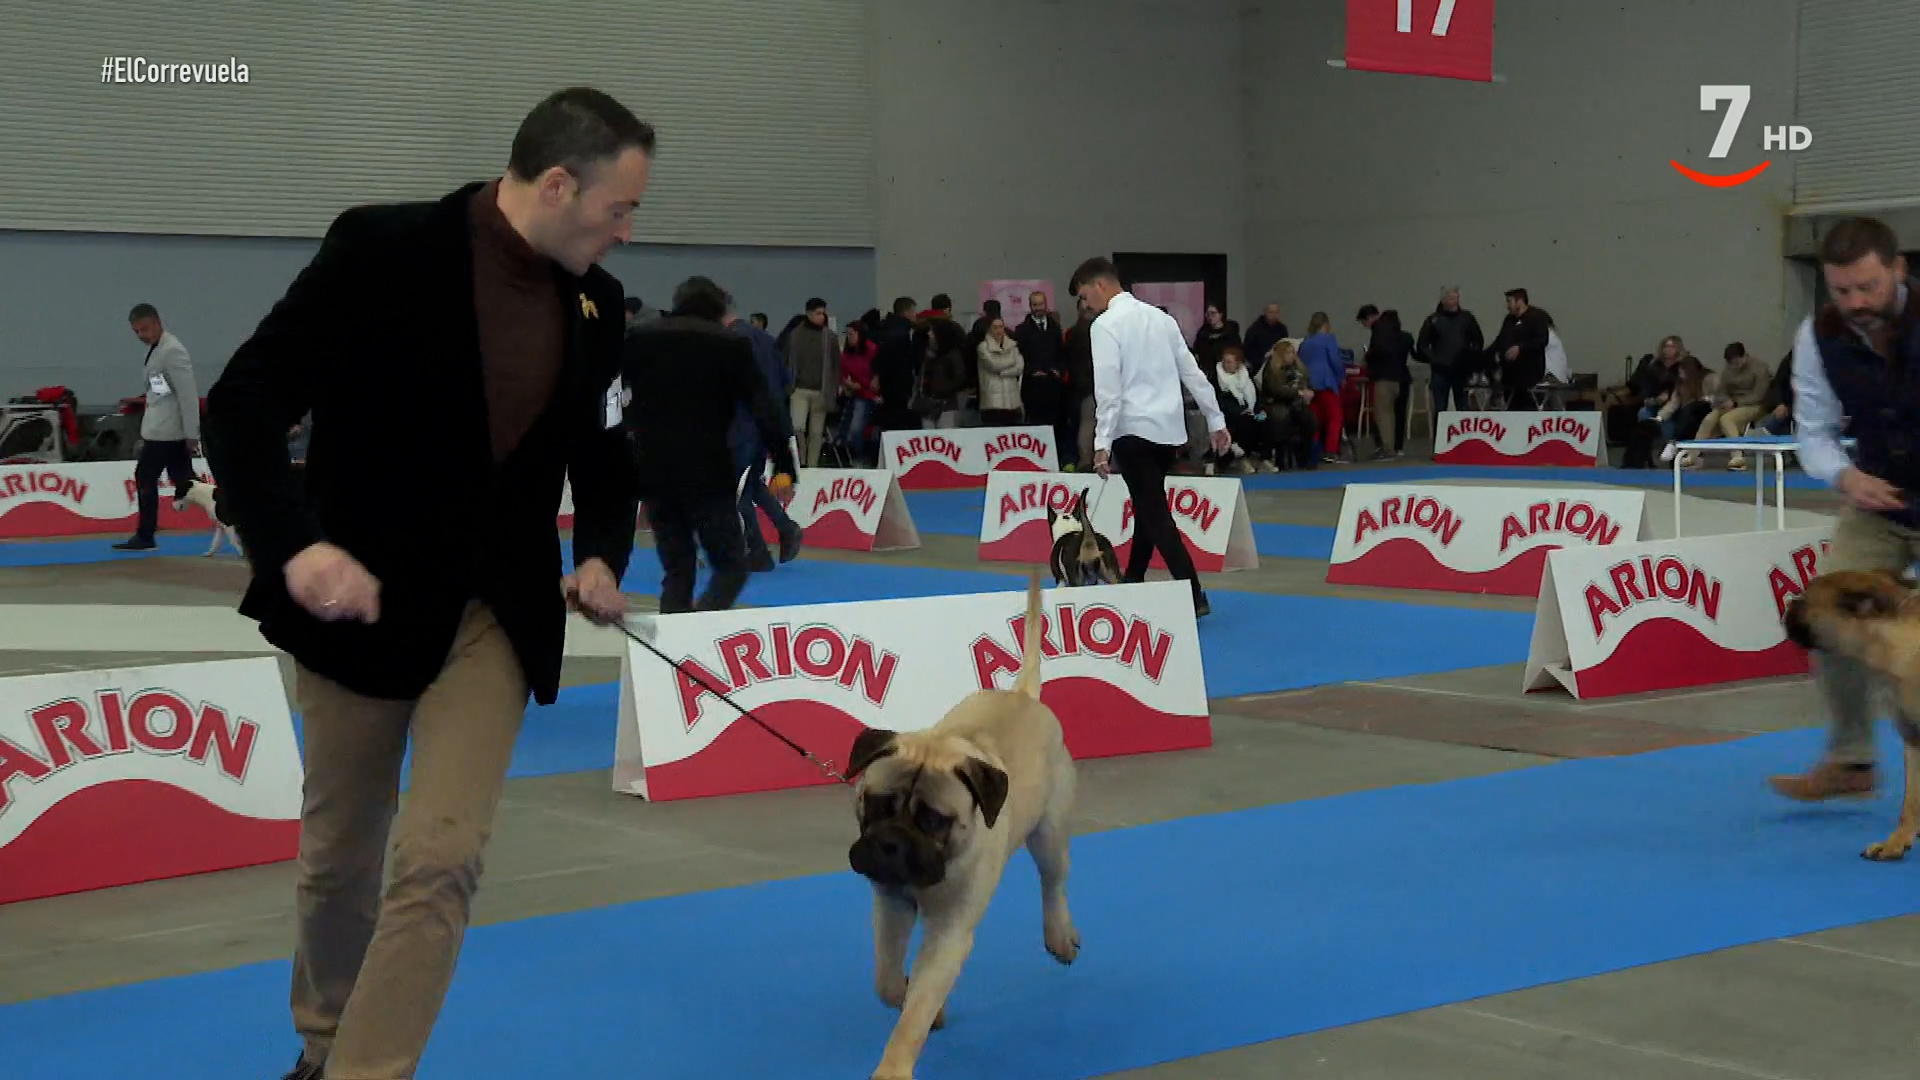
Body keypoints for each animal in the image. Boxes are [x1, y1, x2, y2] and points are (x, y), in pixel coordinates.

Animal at [844, 568, 1082, 1068]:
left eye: (934, 820)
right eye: (876, 805)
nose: (890, 844)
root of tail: (1023, 695)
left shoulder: (948, 935)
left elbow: (911, 1020)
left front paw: (895, 1065)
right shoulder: (890, 905)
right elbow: (888, 980)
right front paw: (912, 998)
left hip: (1049, 834)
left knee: (1053, 882)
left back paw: (1059, 934)